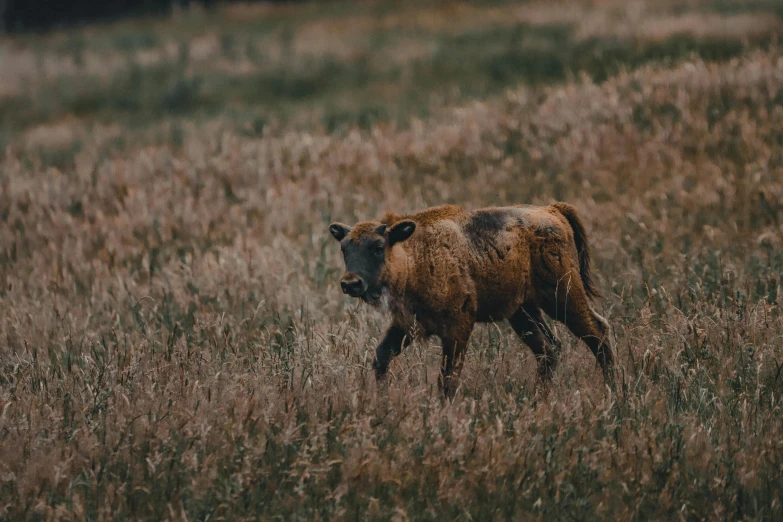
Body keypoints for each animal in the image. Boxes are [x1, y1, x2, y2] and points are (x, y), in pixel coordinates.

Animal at [328, 201, 616, 396]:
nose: (351, 283)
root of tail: (553, 210)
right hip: (523, 312)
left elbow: (447, 379)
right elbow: (381, 357)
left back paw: (613, 390)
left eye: (378, 247)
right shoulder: (407, 326)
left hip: (562, 297)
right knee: (549, 348)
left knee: (597, 331)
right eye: (344, 248)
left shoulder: (457, 329)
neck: (415, 255)